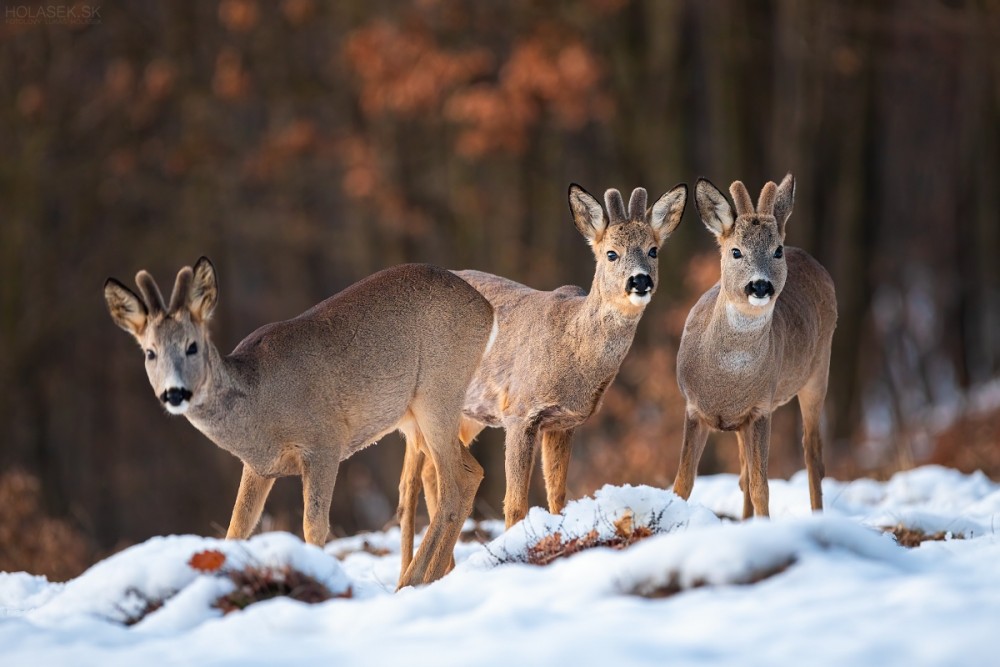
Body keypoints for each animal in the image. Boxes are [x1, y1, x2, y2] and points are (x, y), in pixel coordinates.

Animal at [105, 258, 496, 588]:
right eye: (149, 352)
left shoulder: (324, 442)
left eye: (192, 346)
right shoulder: (258, 466)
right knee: (469, 473)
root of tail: (486, 309)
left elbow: (314, 526)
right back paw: (431, 576)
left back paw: (412, 581)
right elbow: (237, 528)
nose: (174, 393)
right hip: (414, 415)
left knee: (452, 484)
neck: (259, 405)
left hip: (438, 391)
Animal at [396, 183, 688, 576]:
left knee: (430, 474)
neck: (573, 350)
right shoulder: (520, 412)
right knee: (412, 482)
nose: (640, 280)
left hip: (468, 415)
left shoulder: (564, 422)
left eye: (653, 249)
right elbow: (515, 502)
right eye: (611, 253)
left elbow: (558, 496)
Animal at [672, 176, 836, 516]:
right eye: (736, 251)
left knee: (812, 452)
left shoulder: (760, 409)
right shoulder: (694, 408)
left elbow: (762, 487)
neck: (727, 381)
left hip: (818, 371)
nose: (760, 285)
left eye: (776, 251)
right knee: (743, 474)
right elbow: (683, 483)